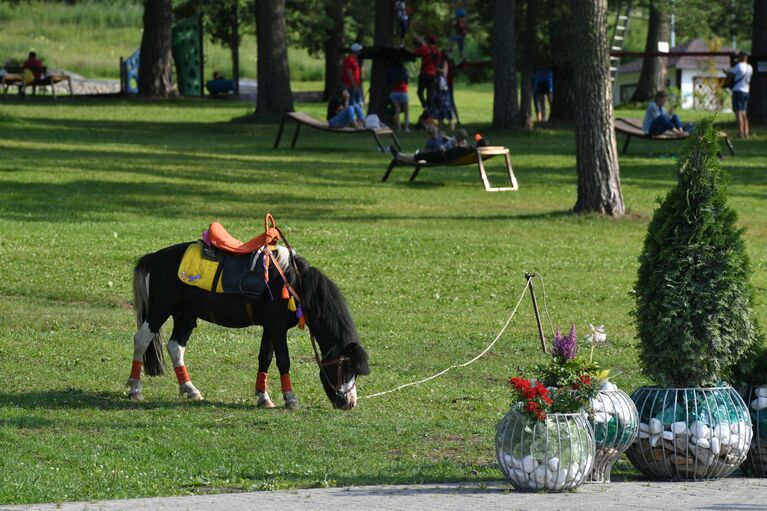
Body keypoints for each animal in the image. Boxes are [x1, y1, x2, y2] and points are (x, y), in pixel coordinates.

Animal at [127, 228, 372, 412]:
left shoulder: (270, 327)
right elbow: (283, 361)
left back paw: (190, 389)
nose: (349, 403)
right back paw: (135, 389)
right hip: (159, 311)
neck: (294, 282)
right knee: (141, 340)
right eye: (346, 368)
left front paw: (264, 398)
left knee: (175, 347)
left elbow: (265, 358)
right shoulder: (278, 327)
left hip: (185, 315)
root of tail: (154, 257)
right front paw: (290, 399)